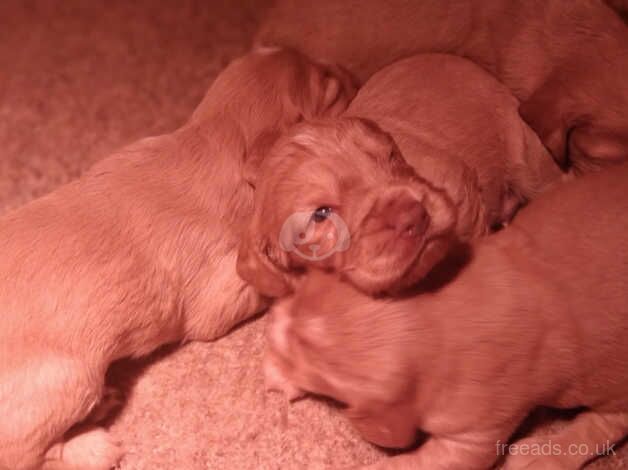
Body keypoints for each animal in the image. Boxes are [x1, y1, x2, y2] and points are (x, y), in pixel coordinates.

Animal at [0, 48, 356, 470]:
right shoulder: (219, 296)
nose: (352, 72)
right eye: (331, 90)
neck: (216, 136)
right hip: (70, 380)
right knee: (29, 452)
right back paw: (93, 444)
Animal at [268, 162, 628, 470]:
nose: (270, 323)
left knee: (607, 423)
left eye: (312, 363)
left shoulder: (474, 433)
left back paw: (542, 456)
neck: (440, 314)